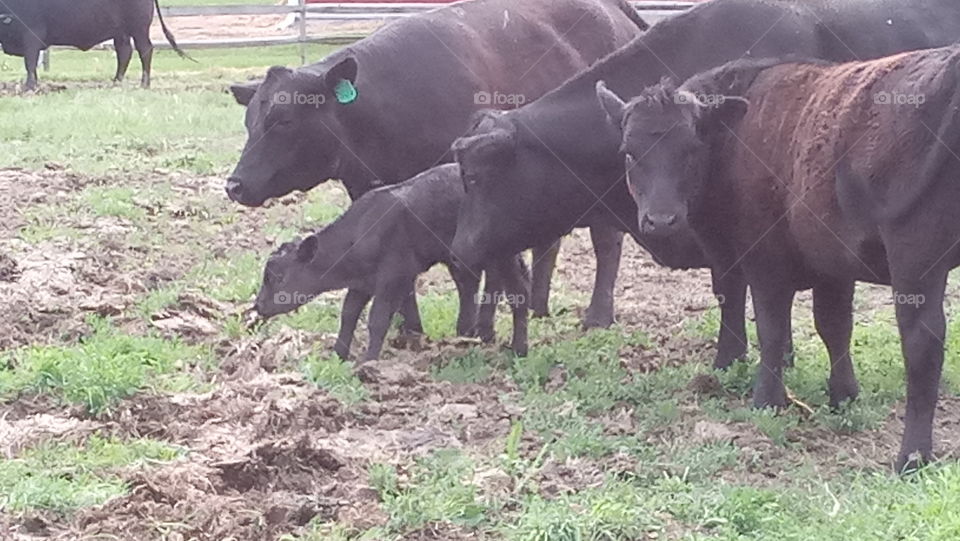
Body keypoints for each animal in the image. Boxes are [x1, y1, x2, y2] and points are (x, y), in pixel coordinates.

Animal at [0, 0, 190, 91]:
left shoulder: (32, 33)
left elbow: (30, 62)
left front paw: (29, 87)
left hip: (139, 29)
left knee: (145, 51)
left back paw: (144, 84)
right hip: (121, 33)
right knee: (124, 53)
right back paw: (116, 82)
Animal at [225, 0, 648, 332]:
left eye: (284, 120)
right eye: (249, 121)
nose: (234, 185)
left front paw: (473, 327)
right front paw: (408, 327)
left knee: (607, 242)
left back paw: (597, 316)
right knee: (549, 241)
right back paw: (538, 307)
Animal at [254, 164, 530, 361]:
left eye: (277, 277)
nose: (258, 306)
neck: (359, 233)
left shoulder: (393, 276)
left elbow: (377, 319)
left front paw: (367, 362)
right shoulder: (362, 283)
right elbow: (349, 313)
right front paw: (338, 355)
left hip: (502, 255)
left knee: (517, 293)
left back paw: (518, 349)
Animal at [601, 45, 960, 472]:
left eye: (691, 149)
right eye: (628, 153)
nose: (660, 220)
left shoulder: (764, 259)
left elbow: (771, 328)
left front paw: (766, 398)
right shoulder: (832, 264)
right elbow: (834, 327)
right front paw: (843, 395)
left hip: (915, 259)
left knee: (923, 343)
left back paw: (912, 455)